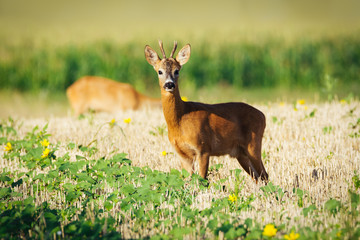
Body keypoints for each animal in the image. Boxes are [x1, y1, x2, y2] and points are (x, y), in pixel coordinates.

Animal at [145, 40, 268, 182]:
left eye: (177, 71)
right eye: (159, 71)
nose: (169, 84)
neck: (181, 119)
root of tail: (263, 115)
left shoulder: (203, 148)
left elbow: (202, 180)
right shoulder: (182, 154)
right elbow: (187, 180)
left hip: (253, 144)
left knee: (265, 175)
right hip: (241, 153)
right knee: (257, 177)